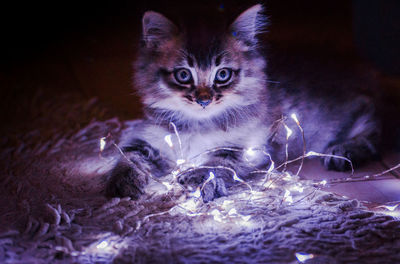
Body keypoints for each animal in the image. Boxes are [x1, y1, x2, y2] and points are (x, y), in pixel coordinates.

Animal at [104, 3, 380, 202]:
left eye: (223, 74)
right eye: (183, 75)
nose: (204, 100)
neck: (198, 123)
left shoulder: (249, 145)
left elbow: (218, 162)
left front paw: (199, 178)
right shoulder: (151, 134)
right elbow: (129, 155)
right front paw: (122, 181)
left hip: (357, 111)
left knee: (374, 129)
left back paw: (344, 150)